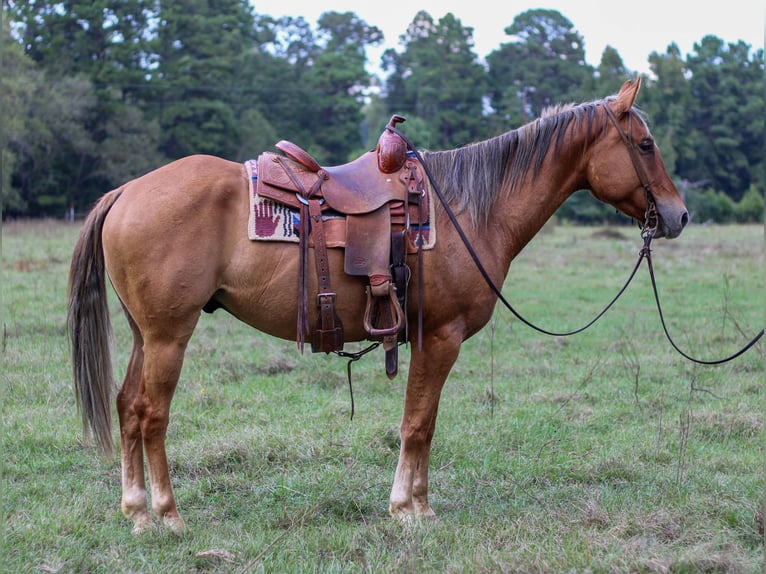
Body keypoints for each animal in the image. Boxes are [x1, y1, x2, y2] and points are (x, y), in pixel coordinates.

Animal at [66, 77, 688, 536]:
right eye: (645, 145)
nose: (678, 215)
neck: (469, 207)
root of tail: (126, 191)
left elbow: (421, 423)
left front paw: (413, 504)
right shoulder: (440, 337)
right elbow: (418, 422)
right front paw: (410, 509)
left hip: (145, 335)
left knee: (127, 407)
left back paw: (136, 512)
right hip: (170, 336)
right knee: (152, 414)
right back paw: (168, 515)